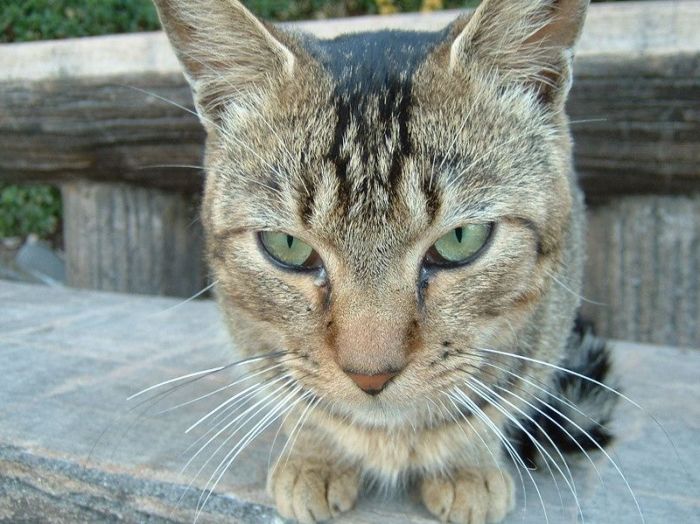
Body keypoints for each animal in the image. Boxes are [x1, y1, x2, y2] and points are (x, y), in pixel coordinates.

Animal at [152, 0, 617, 522]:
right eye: (286, 246)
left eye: (461, 239)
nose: (369, 376)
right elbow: (302, 404)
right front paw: (315, 458)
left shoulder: (544, 332)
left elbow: (491, 405)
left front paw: (467, 464)